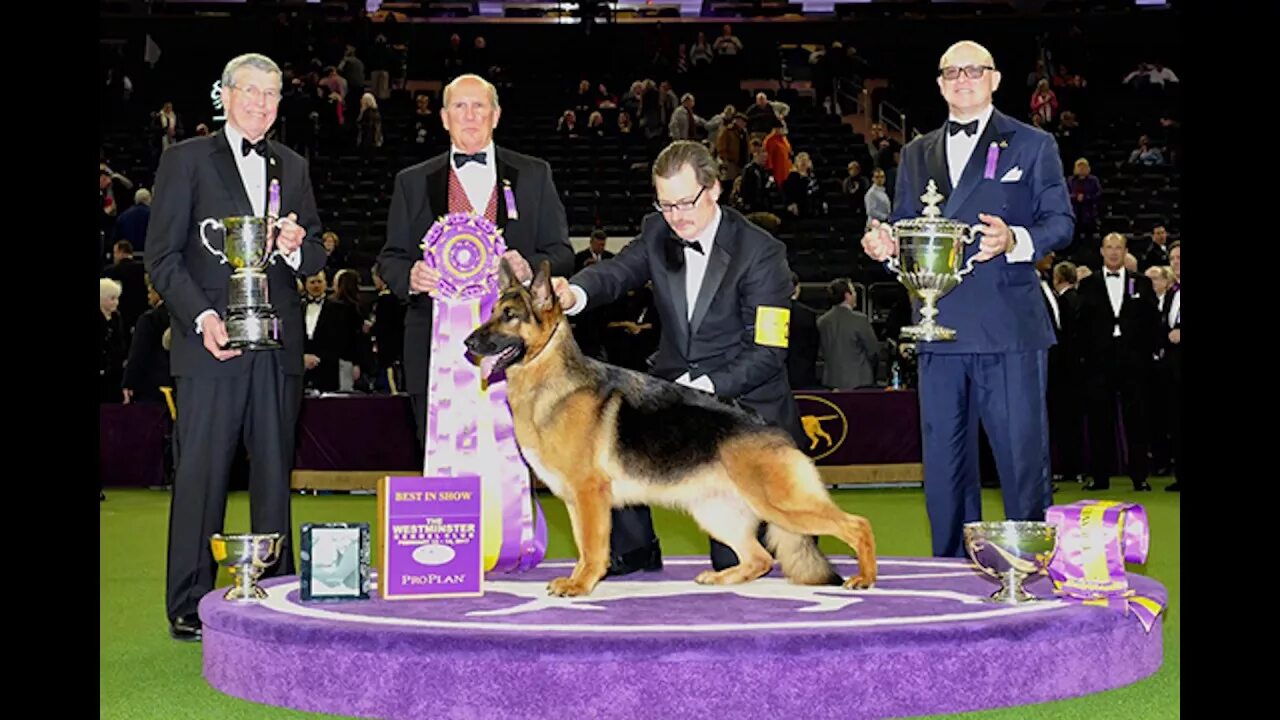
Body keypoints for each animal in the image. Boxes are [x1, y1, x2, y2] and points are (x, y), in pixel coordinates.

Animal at [465, 260, 875, 597]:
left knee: (858, 525)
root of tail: (774, 430)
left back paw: (865, 577)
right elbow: (583, 545)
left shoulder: (589, 495)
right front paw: (580, 578)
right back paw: (723, 578)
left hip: (782, 504)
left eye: (510, 316)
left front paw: (581, 585)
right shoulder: (575, 500)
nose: (468, 342)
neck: (550, 381)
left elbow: (593, 547)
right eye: (491, 313)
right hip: (717, 513)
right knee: (760, 558)